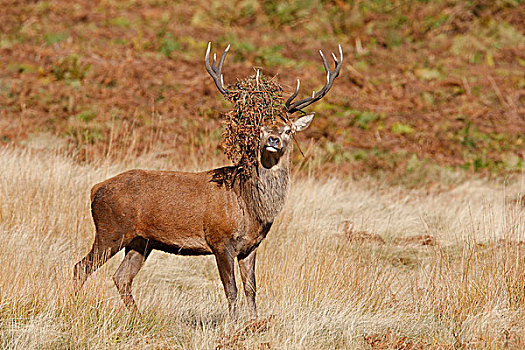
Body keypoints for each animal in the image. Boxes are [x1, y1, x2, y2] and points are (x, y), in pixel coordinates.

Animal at [74, 42, 344, 318]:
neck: (250, 206)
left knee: (122, 276)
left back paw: (138, 317)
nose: (273, 139)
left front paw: (255, 322)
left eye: (288, 129)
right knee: (81, 267)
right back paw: (75, 304)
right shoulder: (220, 240)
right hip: (110, 230)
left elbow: (251, 289)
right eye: (259, 129)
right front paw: (235, 324)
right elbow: (231, 290)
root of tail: (95, 189)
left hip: (141, 241)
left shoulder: (251, 246)